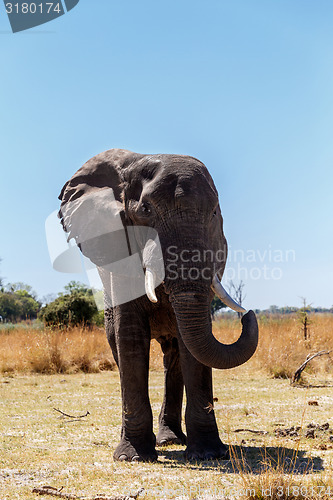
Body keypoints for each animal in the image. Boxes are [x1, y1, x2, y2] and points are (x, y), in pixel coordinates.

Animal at [58, 147, 258, 460]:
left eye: (214, 212)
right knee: (118, 345)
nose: (248, 315)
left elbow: (192, 348)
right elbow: (130, 336)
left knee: (173, 355)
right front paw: (132, 456)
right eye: (146, 211)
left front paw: (208, 454)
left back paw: (170, 440)